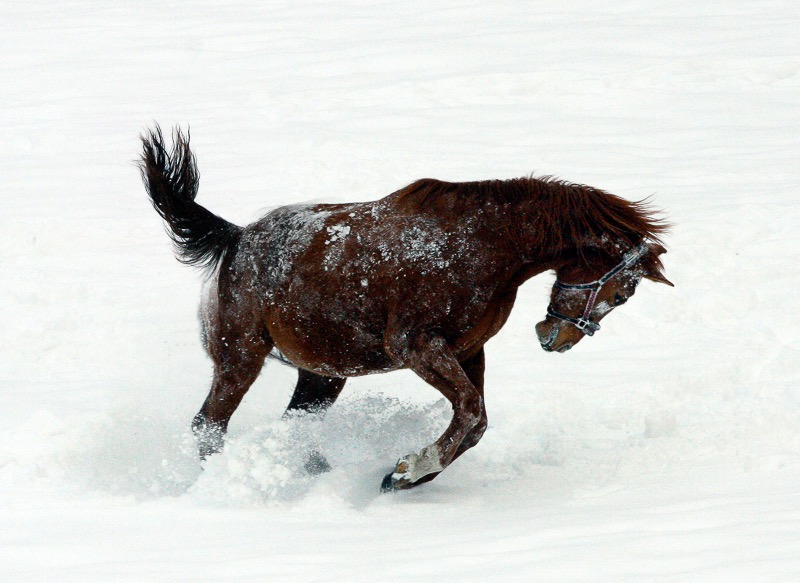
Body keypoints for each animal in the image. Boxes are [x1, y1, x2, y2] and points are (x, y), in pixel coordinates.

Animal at [138, 126, 668, 492]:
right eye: (622, 294)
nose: (556, 338)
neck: (487, 246)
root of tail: (235, 236)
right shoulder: (415, 345)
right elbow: (470, 411)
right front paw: (409, 469)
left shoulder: (468, 350)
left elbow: (476, 421)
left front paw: (403, 475)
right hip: (241, 356)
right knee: (208, 425)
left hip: (323, 372)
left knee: (294, 426)